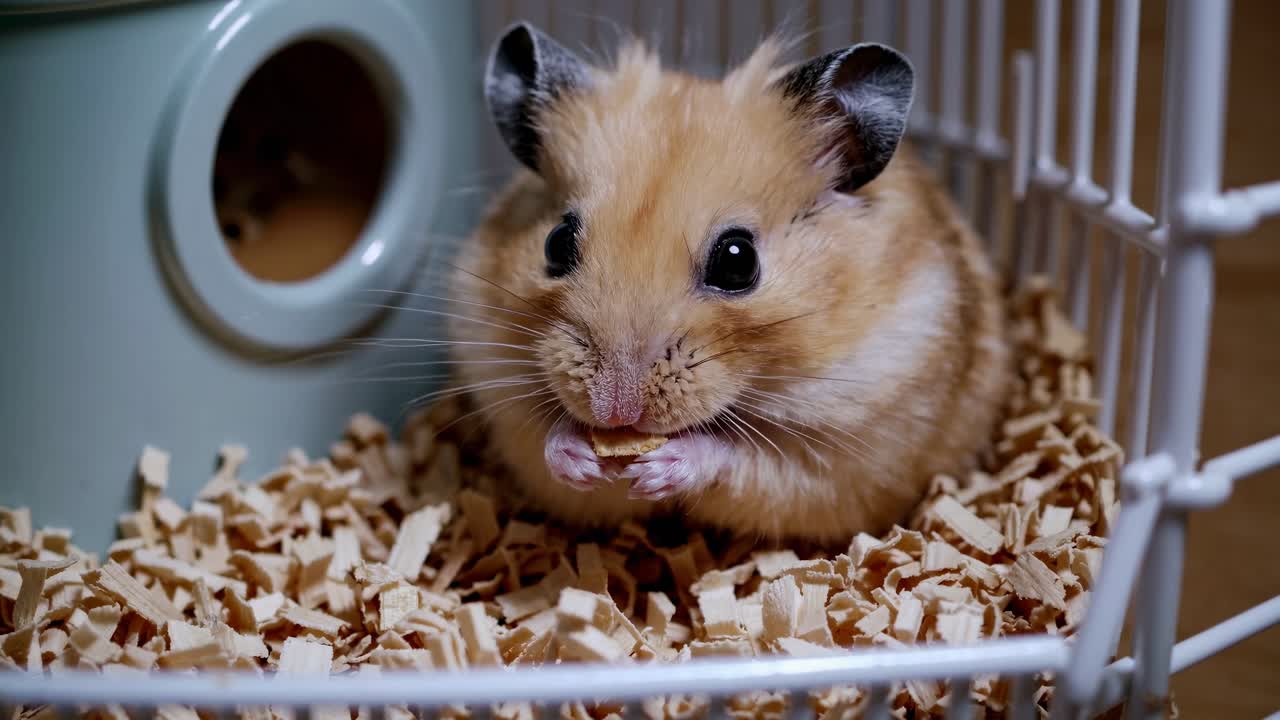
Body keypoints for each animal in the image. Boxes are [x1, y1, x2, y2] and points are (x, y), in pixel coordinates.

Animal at [446, 23, 1011, 543]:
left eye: (738, 261)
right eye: (556, 242)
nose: (614, 410)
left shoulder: (841, 455)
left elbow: (742, 461)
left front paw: (662, 468)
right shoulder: (504, 400)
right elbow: (545, 444)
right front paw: (578, 454)